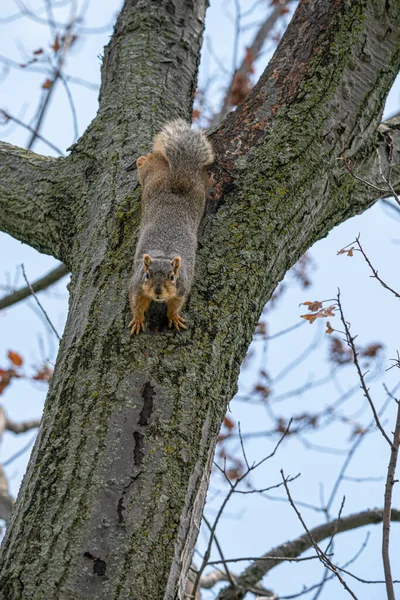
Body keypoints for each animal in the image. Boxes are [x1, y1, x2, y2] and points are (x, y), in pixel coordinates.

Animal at [130, 119, 214, 336]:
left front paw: (174, 318)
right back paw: (144, 160)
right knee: (146, 164)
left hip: (197, 190)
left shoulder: (182, 287)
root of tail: (179, 177)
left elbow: (176, 304)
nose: (158, 291)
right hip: (152, 178)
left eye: (172, 276)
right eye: (147, 275)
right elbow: (136, 303)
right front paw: (137, 320)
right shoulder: (136, 284)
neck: (164, 254)